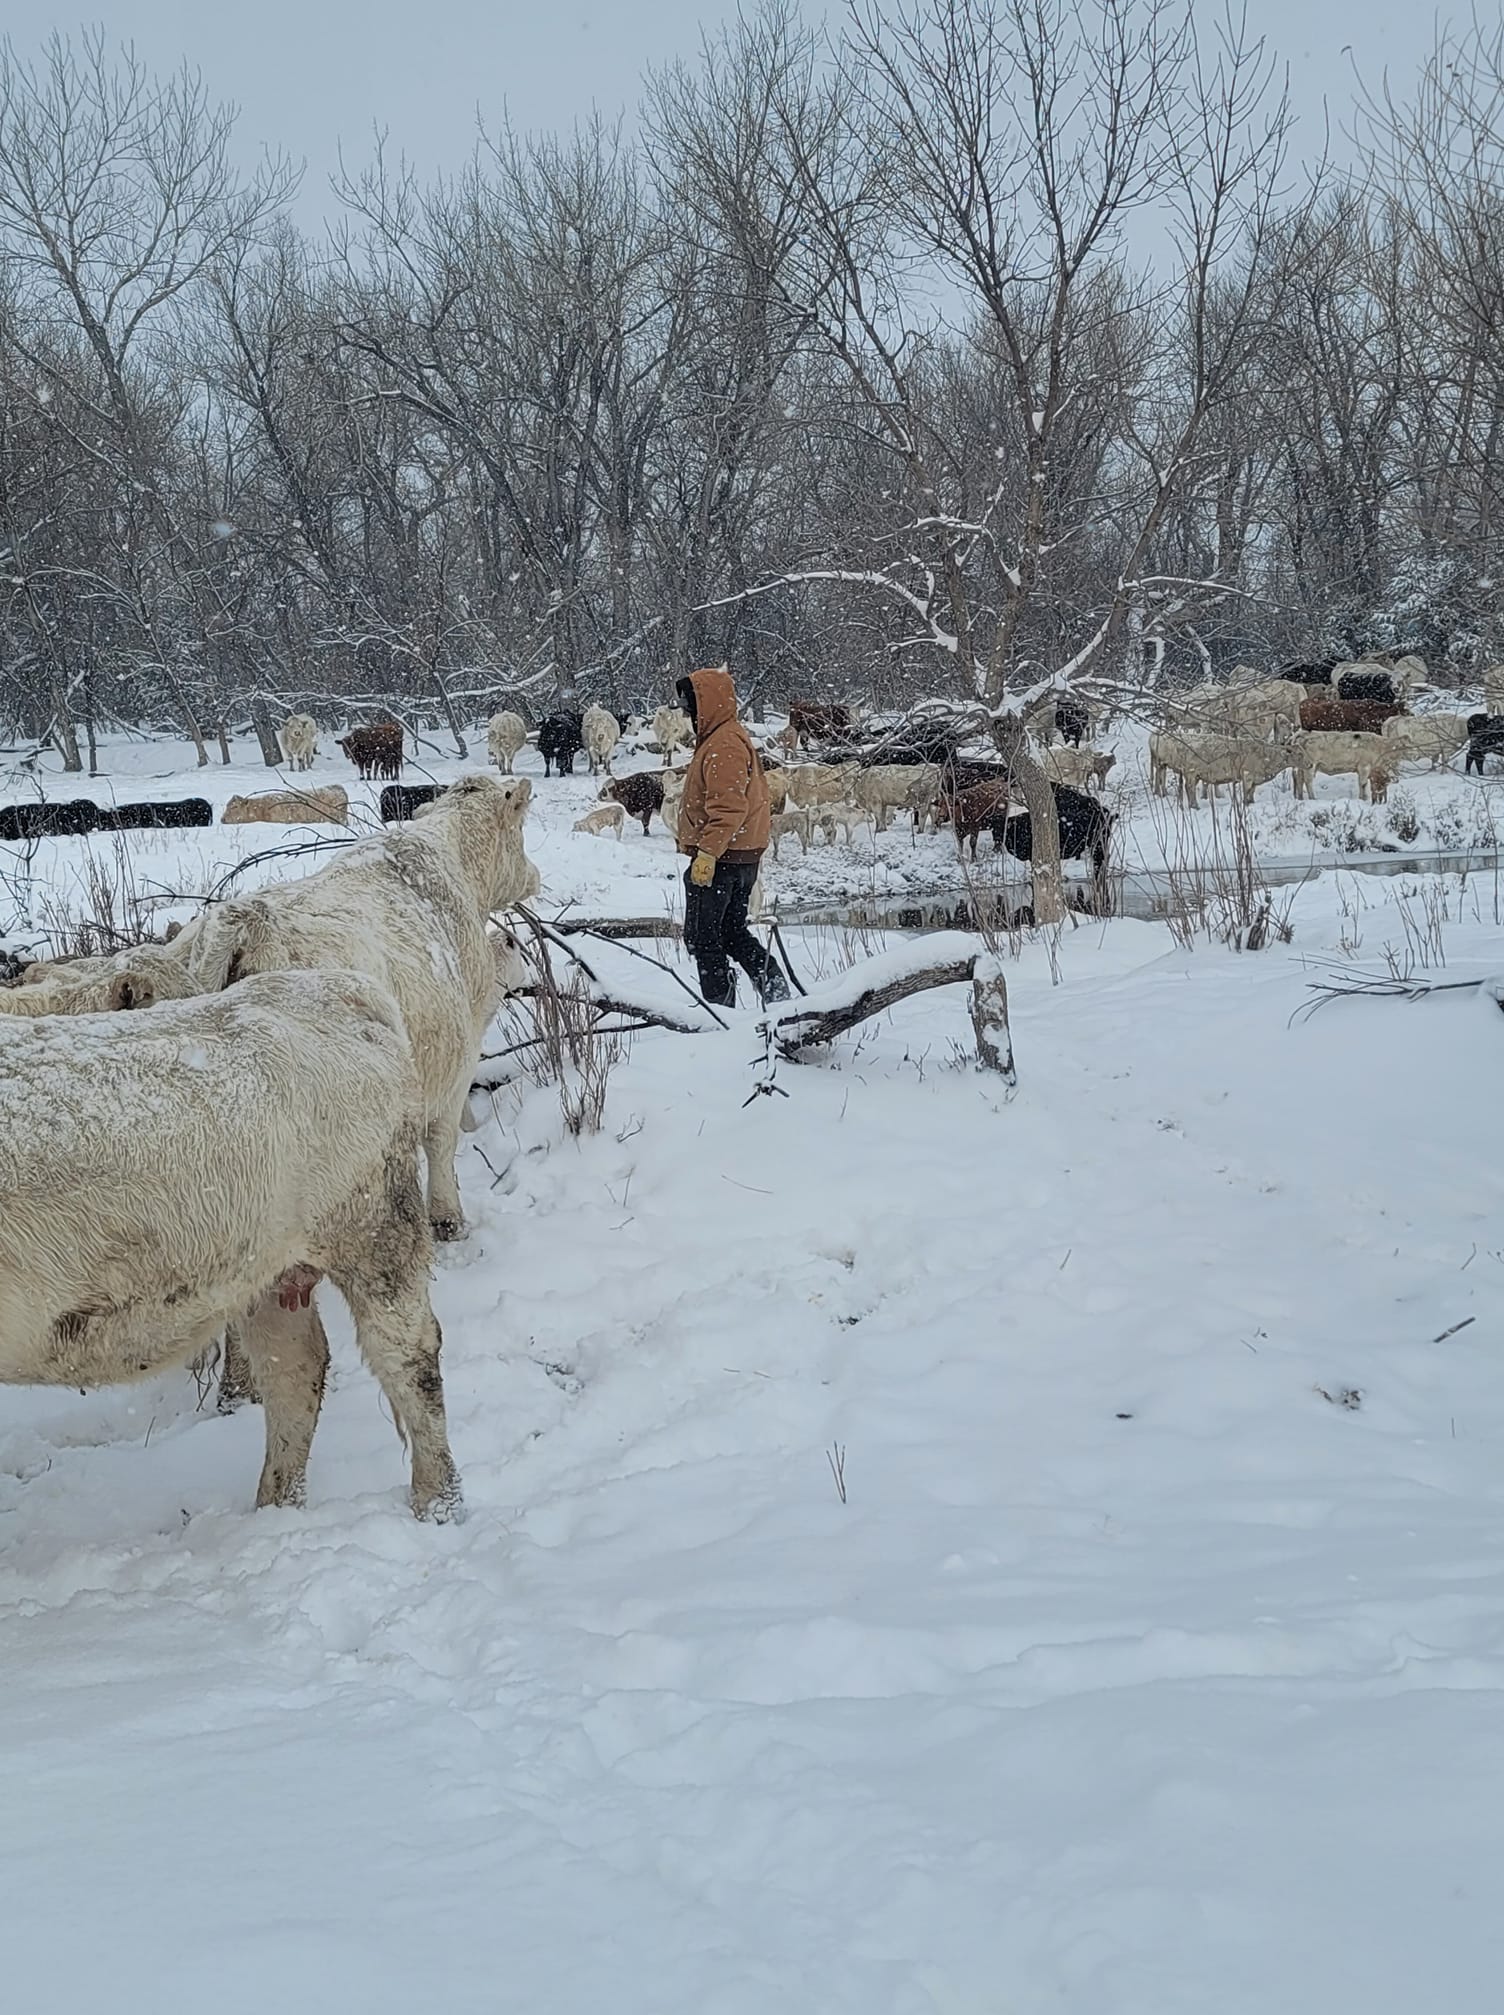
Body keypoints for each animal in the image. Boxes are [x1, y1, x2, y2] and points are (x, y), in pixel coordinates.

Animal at [0, 967, 459, 1515]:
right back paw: (276, 1509)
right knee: (294, 1368)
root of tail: (337, 986)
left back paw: (436, 1503)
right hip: (270, 1266)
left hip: (373, 1227)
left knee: (407, 1354)